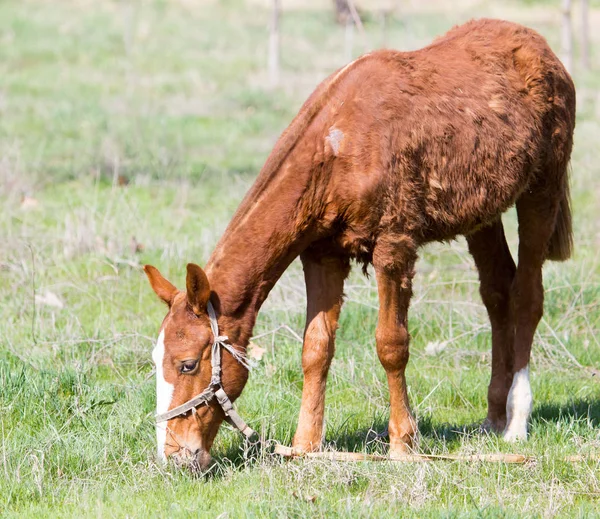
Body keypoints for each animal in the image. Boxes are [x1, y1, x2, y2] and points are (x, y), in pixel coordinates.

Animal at [142, 19, 576, 472]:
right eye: (155, 361)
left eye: (188, 364)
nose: (173, 456)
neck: (339, 146)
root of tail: (539, 46)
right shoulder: (322, 254)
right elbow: (315, 348)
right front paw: (306, 444)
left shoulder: (394, 248)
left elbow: (391, 345)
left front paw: (403, 442)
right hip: (483, 214)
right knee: (497, 293)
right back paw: (494, 416)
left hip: (541, 193)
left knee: (527, 296)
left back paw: (516, 421)